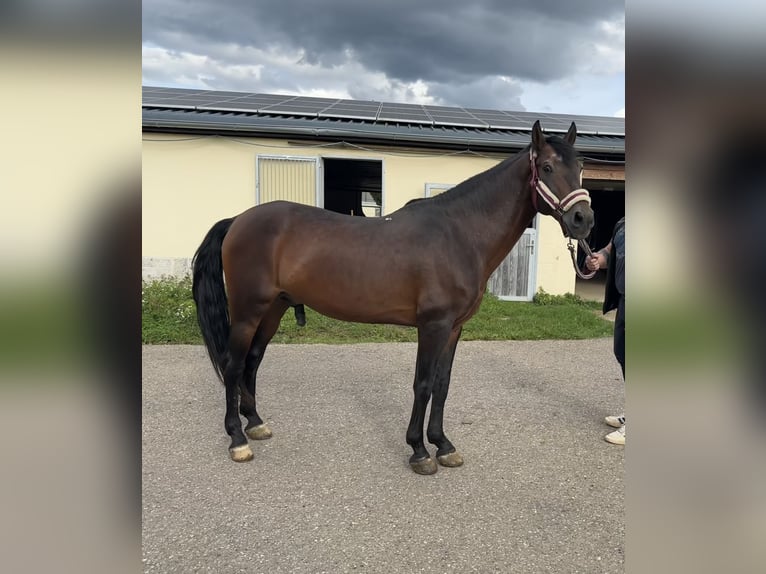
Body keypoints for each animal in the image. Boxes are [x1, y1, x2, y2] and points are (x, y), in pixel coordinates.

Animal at [192, 120, 594, 474]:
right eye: (547, 167)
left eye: (580, 168)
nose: (583, 219)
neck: (459, 234)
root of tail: (237, 220)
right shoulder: (432, 326)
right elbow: (423, 384)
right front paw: (419, 451)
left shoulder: (454, 328)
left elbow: (442, 385)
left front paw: (443, 445)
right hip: (247, 311)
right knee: (233, 364)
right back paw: (237, 439)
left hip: (273, 309)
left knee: (252, 361)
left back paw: (256, 423)